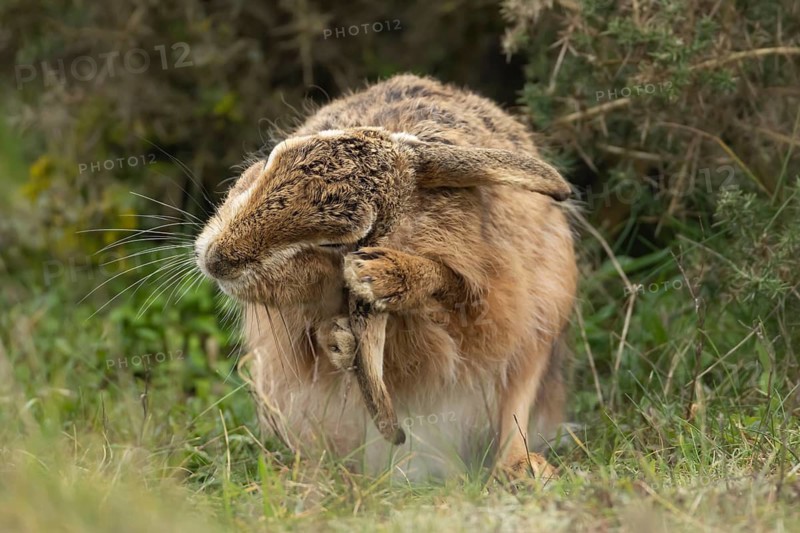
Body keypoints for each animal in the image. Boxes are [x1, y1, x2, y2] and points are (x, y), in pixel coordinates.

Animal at [194, 74, 577, 480]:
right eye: (273, 158)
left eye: (334, 242)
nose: (216, 260)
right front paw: (340, 340)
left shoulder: (487, 290)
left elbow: (456, 292)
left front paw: (381, 276)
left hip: (541, 333)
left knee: (516, 405)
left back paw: (525, 470)